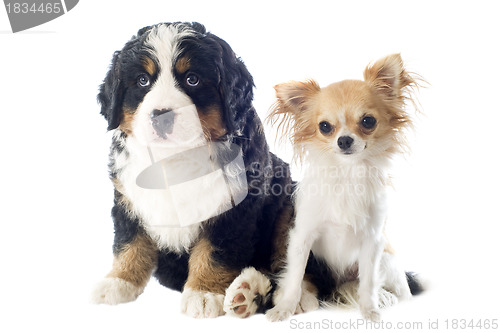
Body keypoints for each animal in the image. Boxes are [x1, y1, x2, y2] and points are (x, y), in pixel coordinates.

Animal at [92, 22, 336, 318]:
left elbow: (215, 252)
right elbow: (129, 243)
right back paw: (248, 292)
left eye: (192, 79)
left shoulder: (233, 208)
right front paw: (118, 282)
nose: (161, 116)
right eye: (142, 81)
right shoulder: (128, 198)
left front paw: (204, 293)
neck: (175, 157)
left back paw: (292, 296)